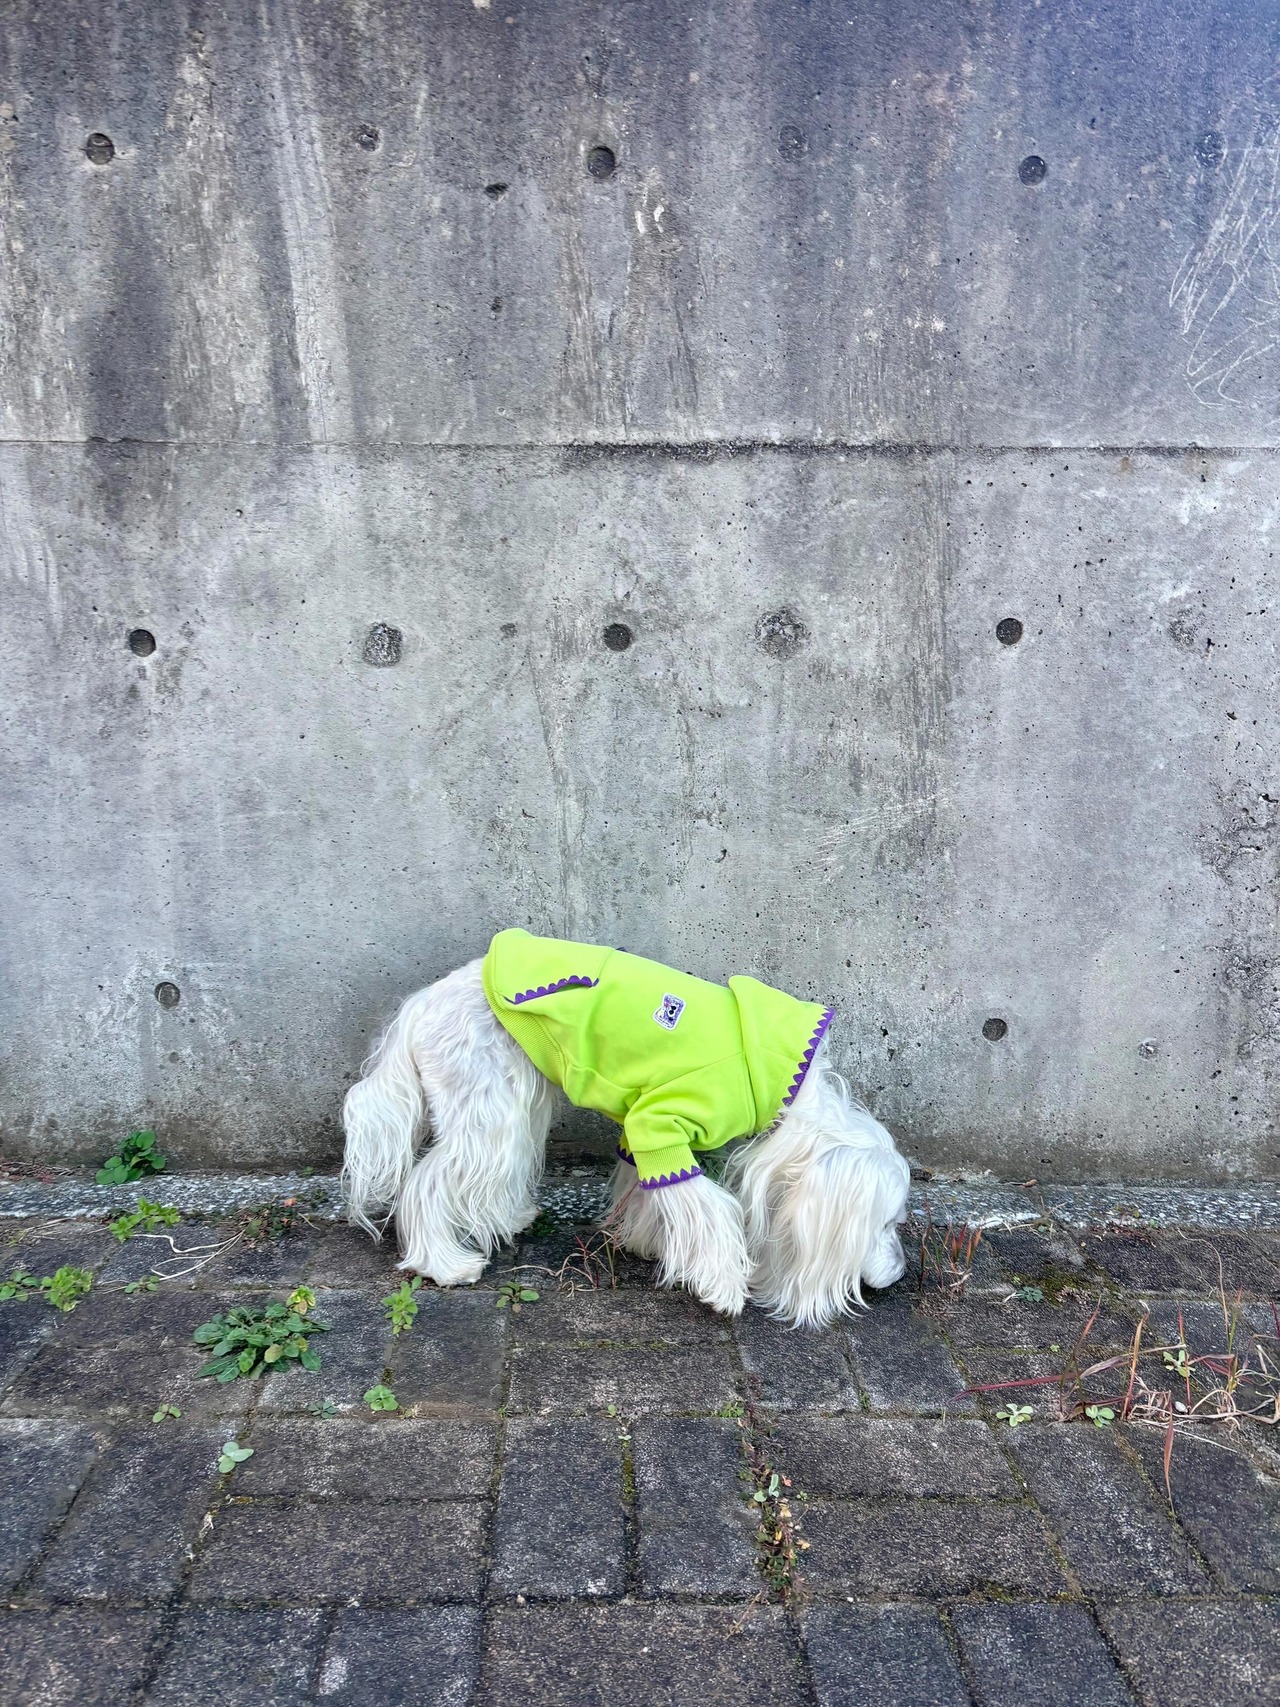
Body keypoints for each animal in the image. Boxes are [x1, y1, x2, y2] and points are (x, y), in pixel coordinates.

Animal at [341, 928, 911, 1328]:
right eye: (886, 1224)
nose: (899, 1273)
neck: (789, 1093)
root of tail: (421, 1005)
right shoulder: (659, 1123)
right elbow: (703, 1206)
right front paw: (724, 1284)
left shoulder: (640, 1132)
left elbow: (643, 1188)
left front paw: (644, 1242)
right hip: (487, 1112)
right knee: (426, 1184)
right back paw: (445, 1264)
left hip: (516, 1100)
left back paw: (511, 1216)